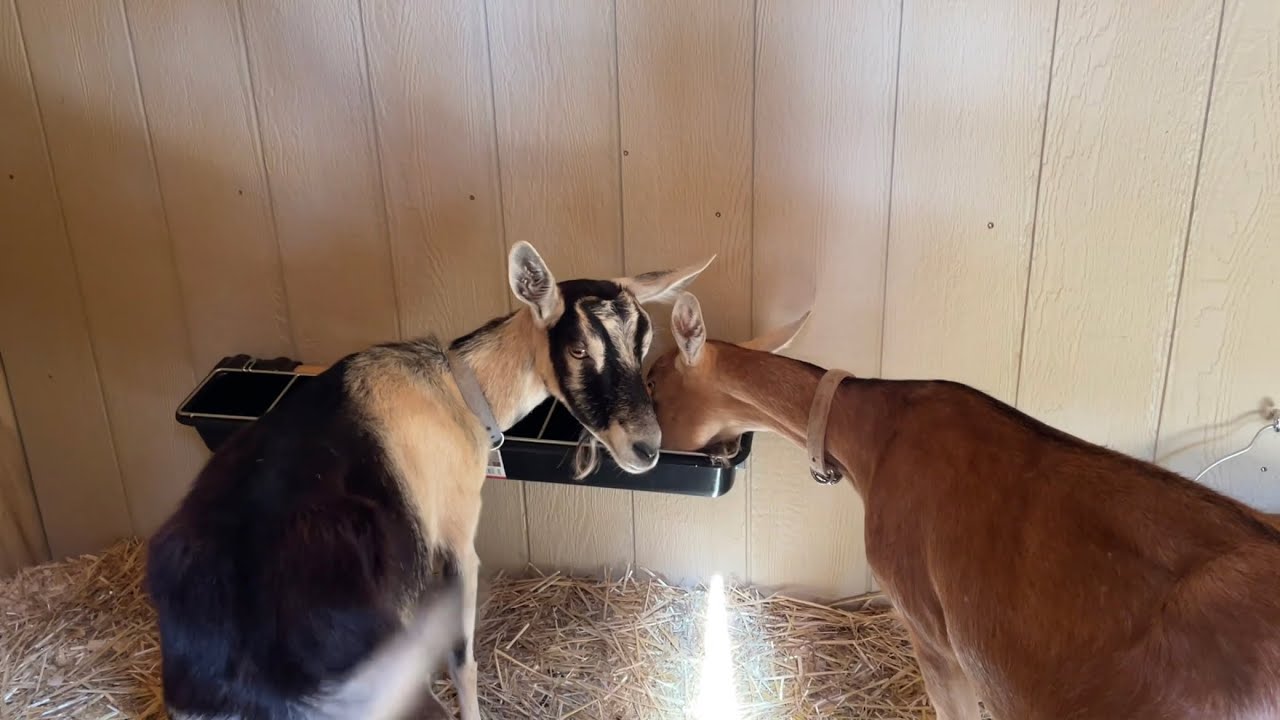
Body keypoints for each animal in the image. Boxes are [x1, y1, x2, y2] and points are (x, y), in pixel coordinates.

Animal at [146, 242, 712, 720]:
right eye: (577, 350)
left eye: (643, 343)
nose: (646, 448)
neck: (453, 390)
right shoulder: (457, 537)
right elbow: (462, 660)